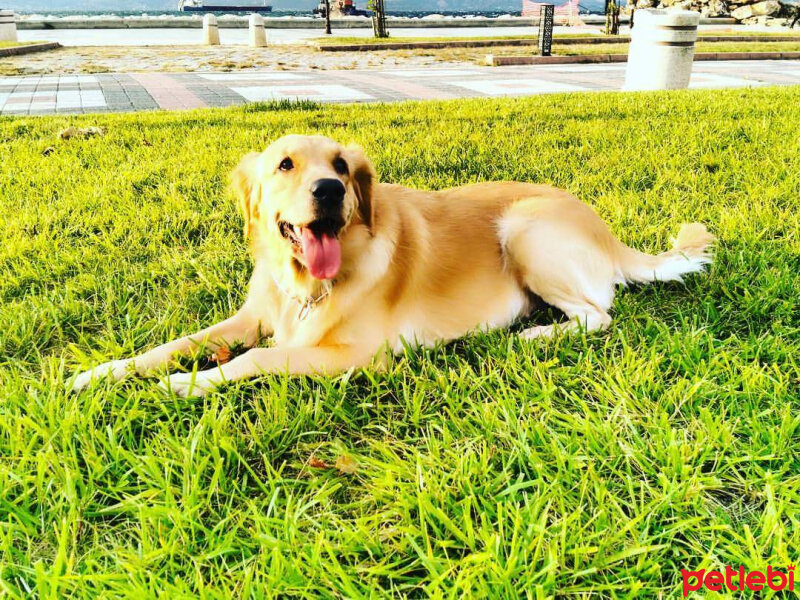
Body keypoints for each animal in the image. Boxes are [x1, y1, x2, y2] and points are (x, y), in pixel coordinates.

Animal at [72, 134, 716, 396]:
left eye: (340, 165)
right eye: (285, 164)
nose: (331, 190)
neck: (307, 285)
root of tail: (608, 232)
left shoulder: (356, 356)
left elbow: (257, 358)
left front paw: (188, 383)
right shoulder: (252, 317)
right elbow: (173, 343)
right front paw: (100, 373)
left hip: (524, 228)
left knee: (599, 314)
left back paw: (532, 334)